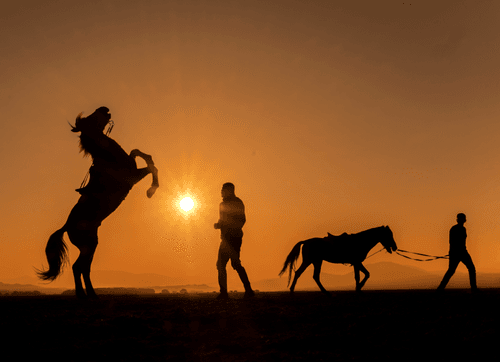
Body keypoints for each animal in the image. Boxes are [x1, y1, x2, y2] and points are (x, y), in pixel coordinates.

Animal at [36, 107, 158, 300]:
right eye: (90, 119)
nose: (104, 109)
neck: (109, 158)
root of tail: (66, 226)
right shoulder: (132, 177)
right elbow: (151, 167)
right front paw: (151, 190)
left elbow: (138, 152)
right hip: (88, 245)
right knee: (78, 267)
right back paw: (83, 295)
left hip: (90, 246)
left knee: (83, 268)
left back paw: (91, 294)